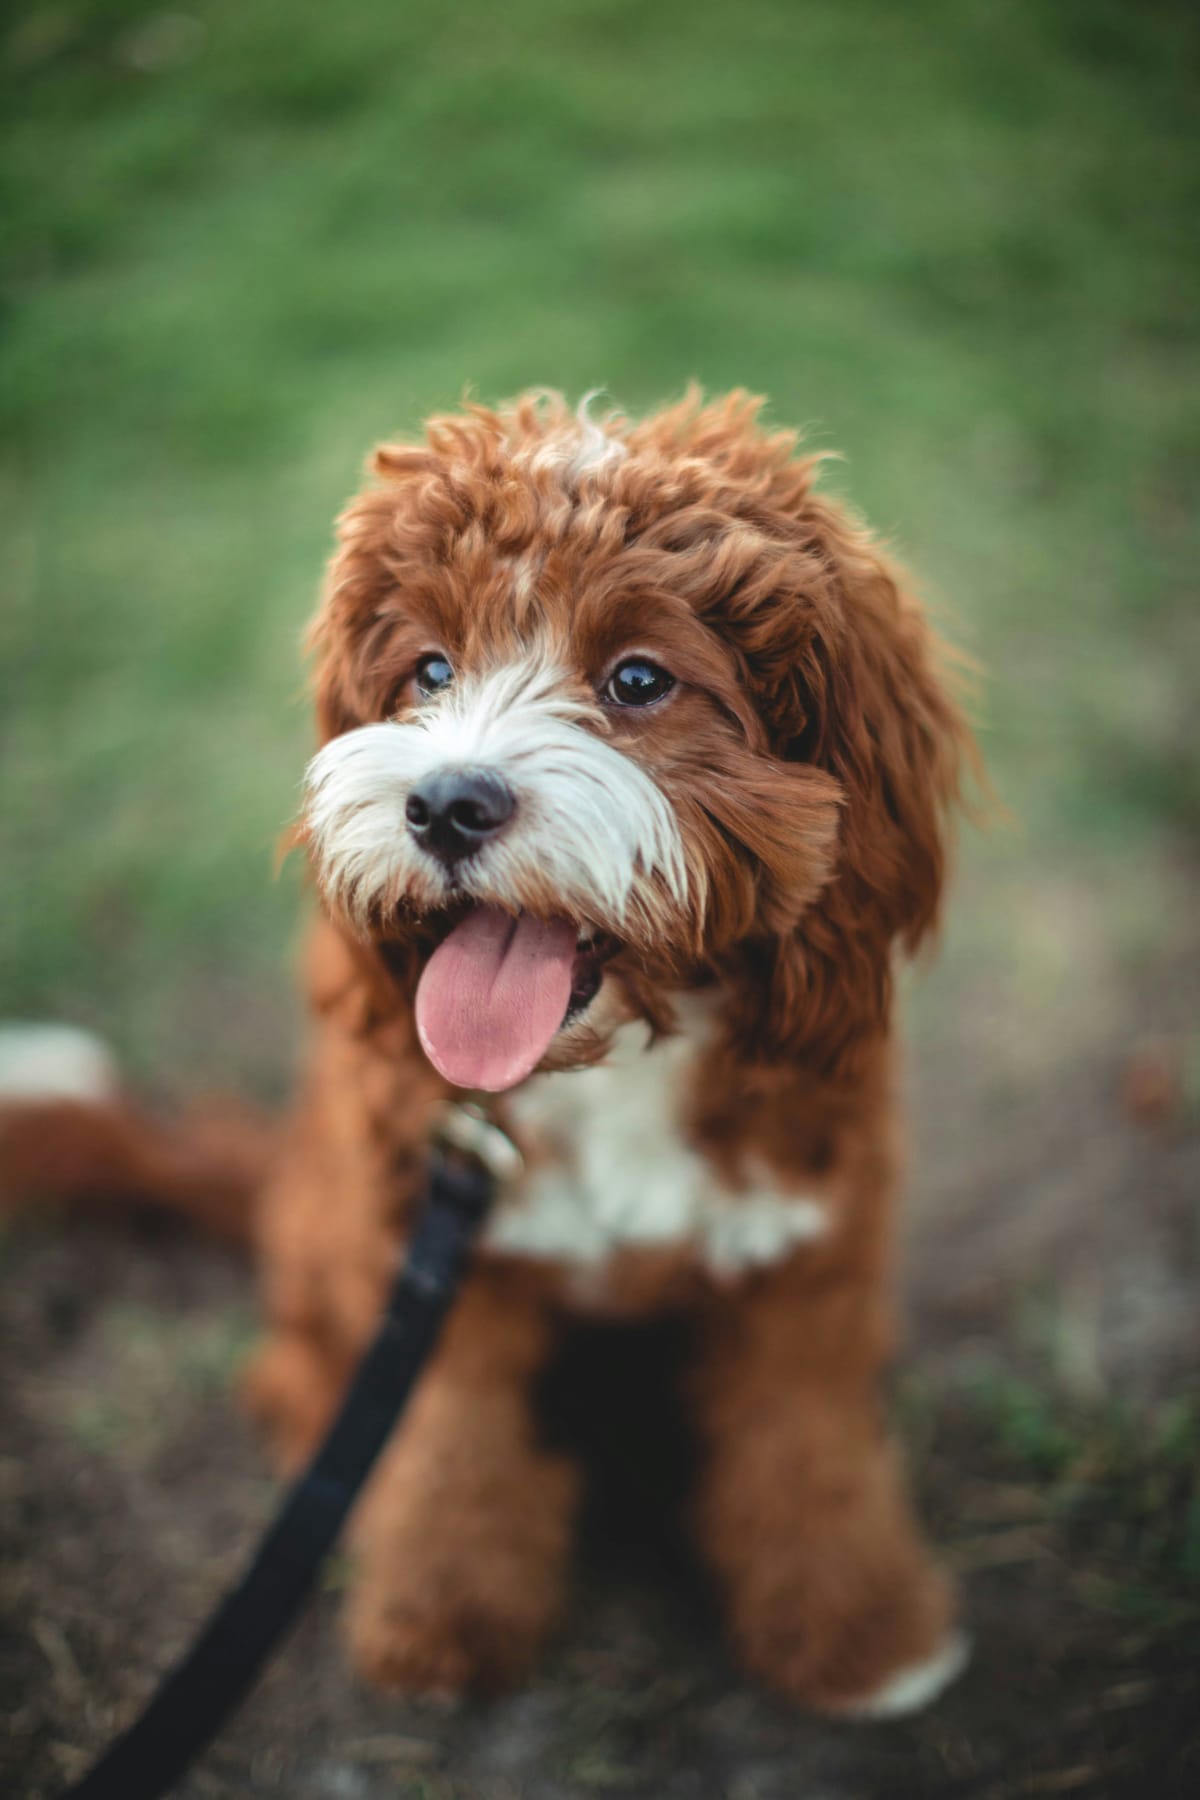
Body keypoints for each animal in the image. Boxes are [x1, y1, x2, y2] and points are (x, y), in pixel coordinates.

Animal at [0, 390, 978, 1713]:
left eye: (638, 678)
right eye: (428, 669)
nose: (445, 804)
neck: (611, 1069)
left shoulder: (803, 1250)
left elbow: (805, 1444)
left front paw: (862, 1632)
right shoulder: (425, 1242)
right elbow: (450, 1445)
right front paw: (441, 1617)